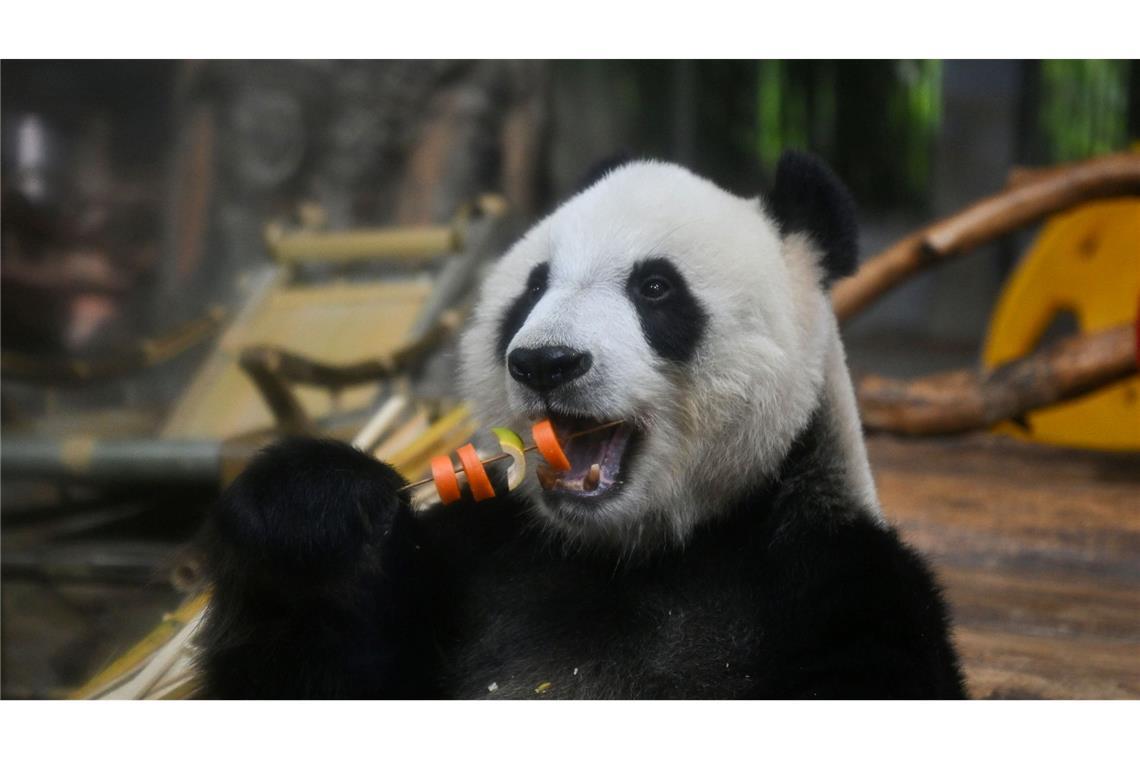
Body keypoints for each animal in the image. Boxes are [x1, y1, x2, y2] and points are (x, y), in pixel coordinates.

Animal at [196, 151, 962, 697]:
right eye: (533, 287)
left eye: (655, 288)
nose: (545, 362)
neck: (634, 553)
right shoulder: (477, 557)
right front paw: (313, 507)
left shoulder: (839, 582)